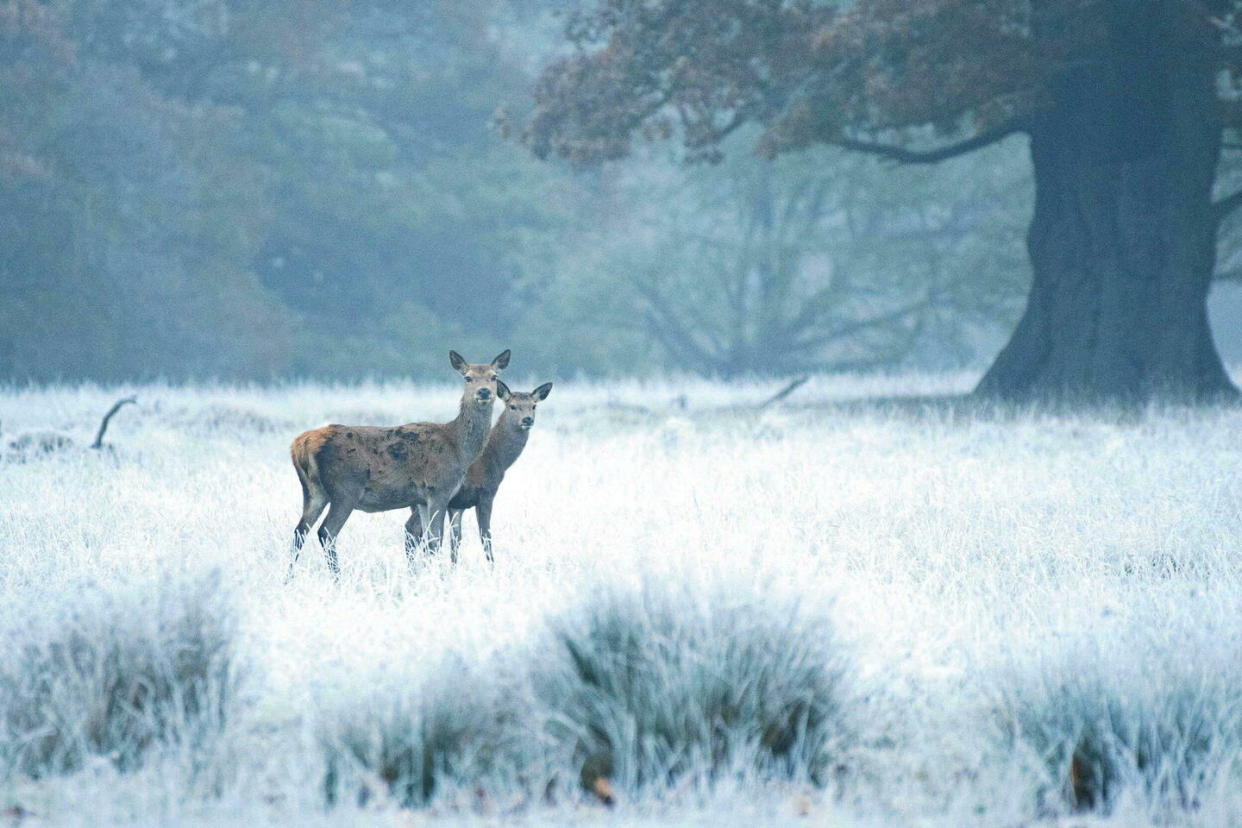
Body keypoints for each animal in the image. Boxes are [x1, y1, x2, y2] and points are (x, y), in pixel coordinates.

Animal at [286, 347, 509, 576]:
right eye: (467, 377)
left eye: (494, 376)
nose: (484, 392)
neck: (459, 449)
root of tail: (300, 445)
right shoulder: (439, 488)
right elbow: (435, 539)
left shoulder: (422, 499)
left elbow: (429, 541)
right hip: (345, 488)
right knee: (326, 532)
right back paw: (337, 578)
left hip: (313, 491)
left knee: (299, 532)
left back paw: (288, 578)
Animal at [407, 382, 553, 563]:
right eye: (512, 406)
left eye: (534, 406)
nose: (527, 419)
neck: (496, 458)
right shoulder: (486, 493)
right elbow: (485, 537)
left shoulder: (457, 504)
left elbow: (456, 540)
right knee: (412, 529)